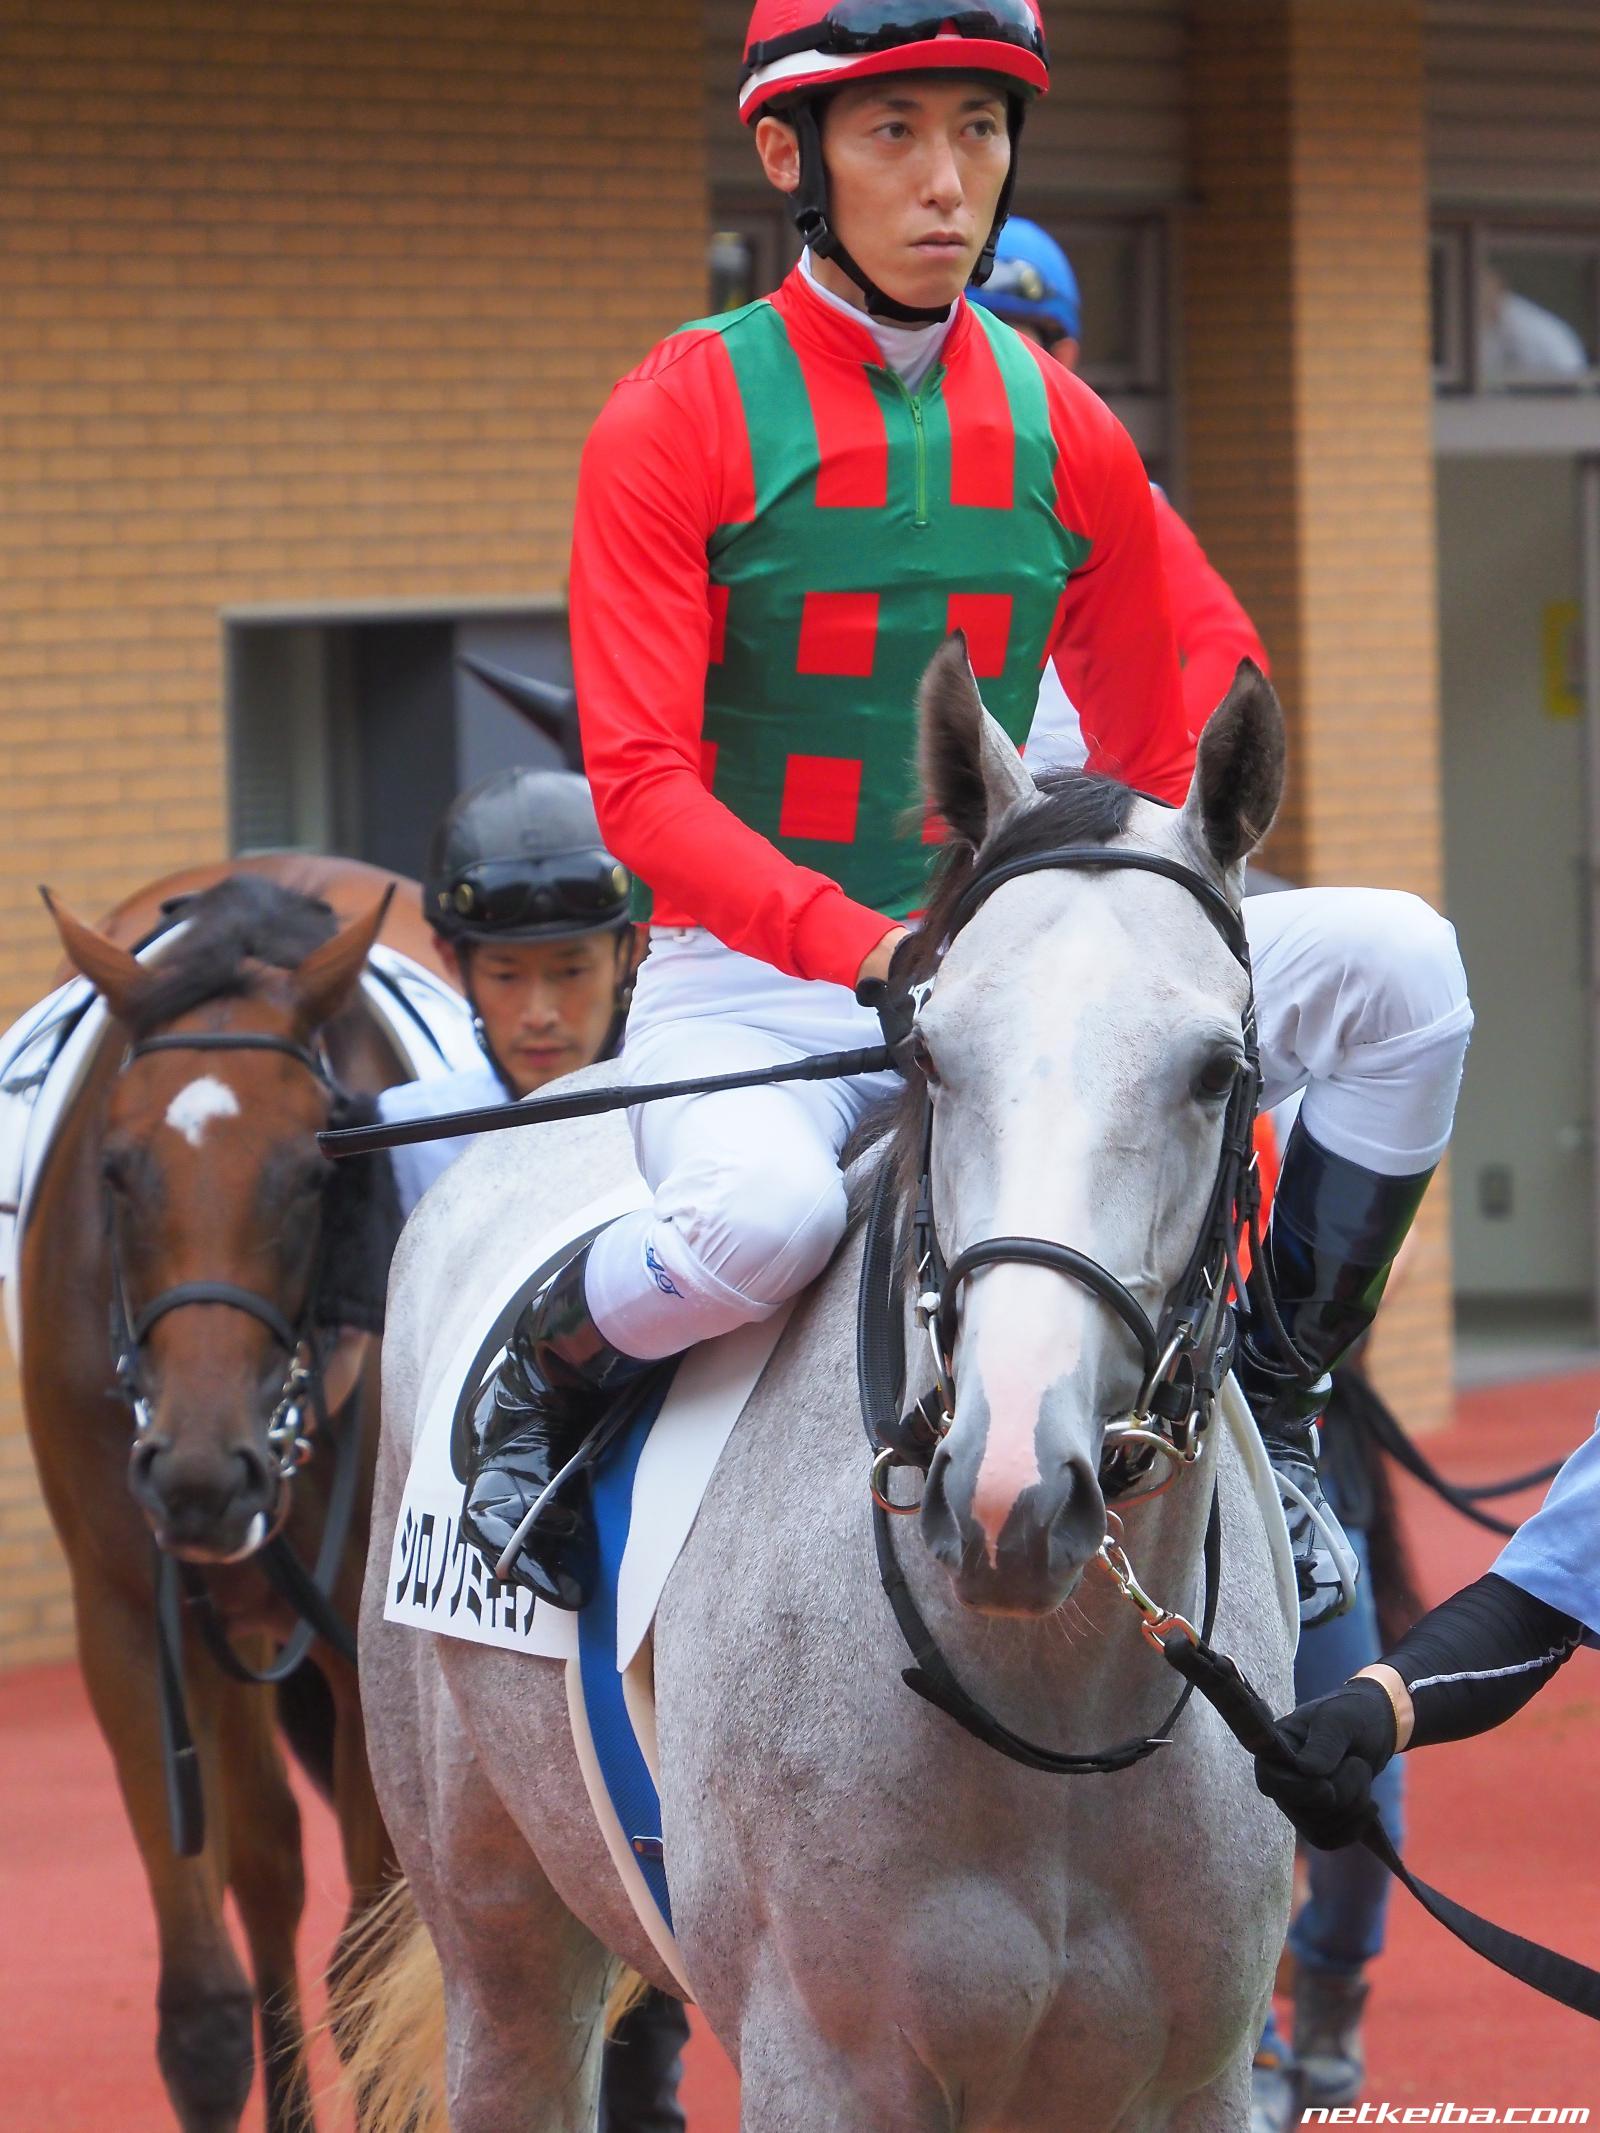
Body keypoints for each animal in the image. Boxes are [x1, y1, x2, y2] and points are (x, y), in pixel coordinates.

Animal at [17, 853, 456, 2133]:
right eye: (116, 1171)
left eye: (314, 1169)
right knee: (266, 1867)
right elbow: (202, 2012)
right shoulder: (126, 1618)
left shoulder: (367, 1637)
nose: (203, 1473)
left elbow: (377, 1978)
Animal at [354, 648, 1305, 2133]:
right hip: (498, 1932)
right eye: (933, 1053)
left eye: (1216, 1069)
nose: (1008, 1492)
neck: (1054, 1706)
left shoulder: (1194, 2074)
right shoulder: (826, 2065)